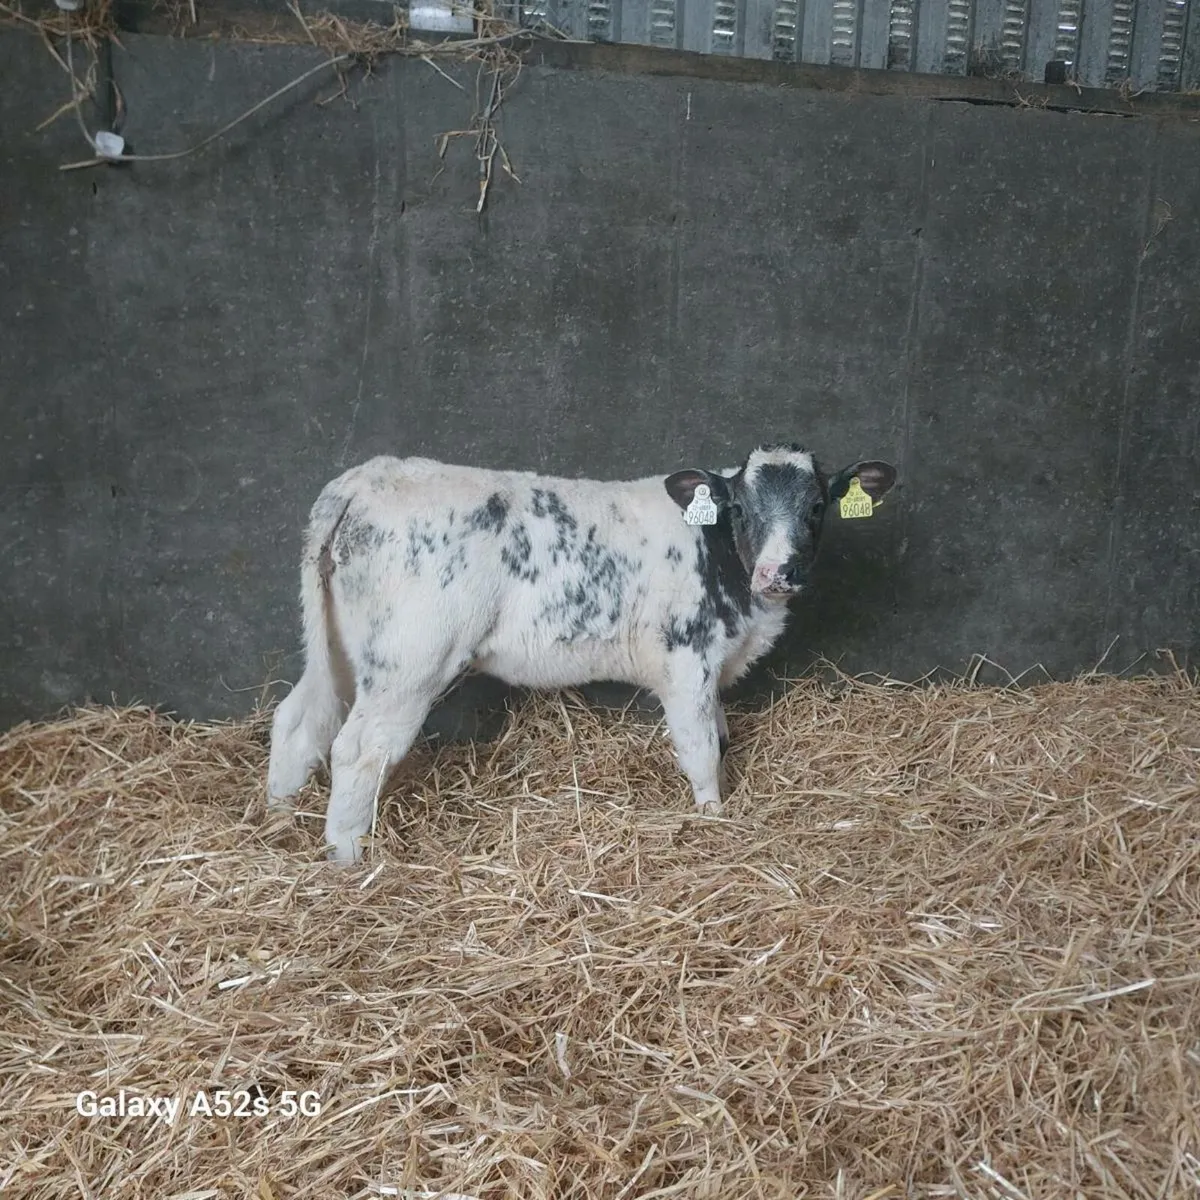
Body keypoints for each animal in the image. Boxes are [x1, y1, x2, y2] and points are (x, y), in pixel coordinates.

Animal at [267, 444, 897, 862]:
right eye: (740, 508)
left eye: (817, 506)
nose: (778, 572)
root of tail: (369, 476)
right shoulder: (686, 660)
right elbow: (700, 749)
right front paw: (713, 819)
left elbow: (720, 736)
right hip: (410, 660)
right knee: (357, 749)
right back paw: (351, 857)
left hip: (346, 650)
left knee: (298, 720)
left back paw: (279, 818)